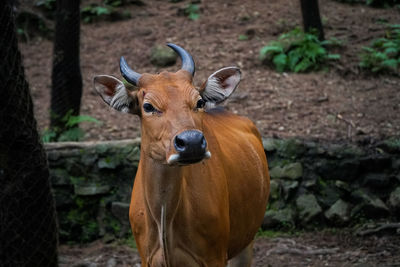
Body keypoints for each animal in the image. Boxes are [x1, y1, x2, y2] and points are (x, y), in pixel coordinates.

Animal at [93, 43, 268, 266]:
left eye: (199, 102)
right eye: (148, 106)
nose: (192, 142)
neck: (164, 221)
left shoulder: (215, 256)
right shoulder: (146, 258)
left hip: (246, 242)